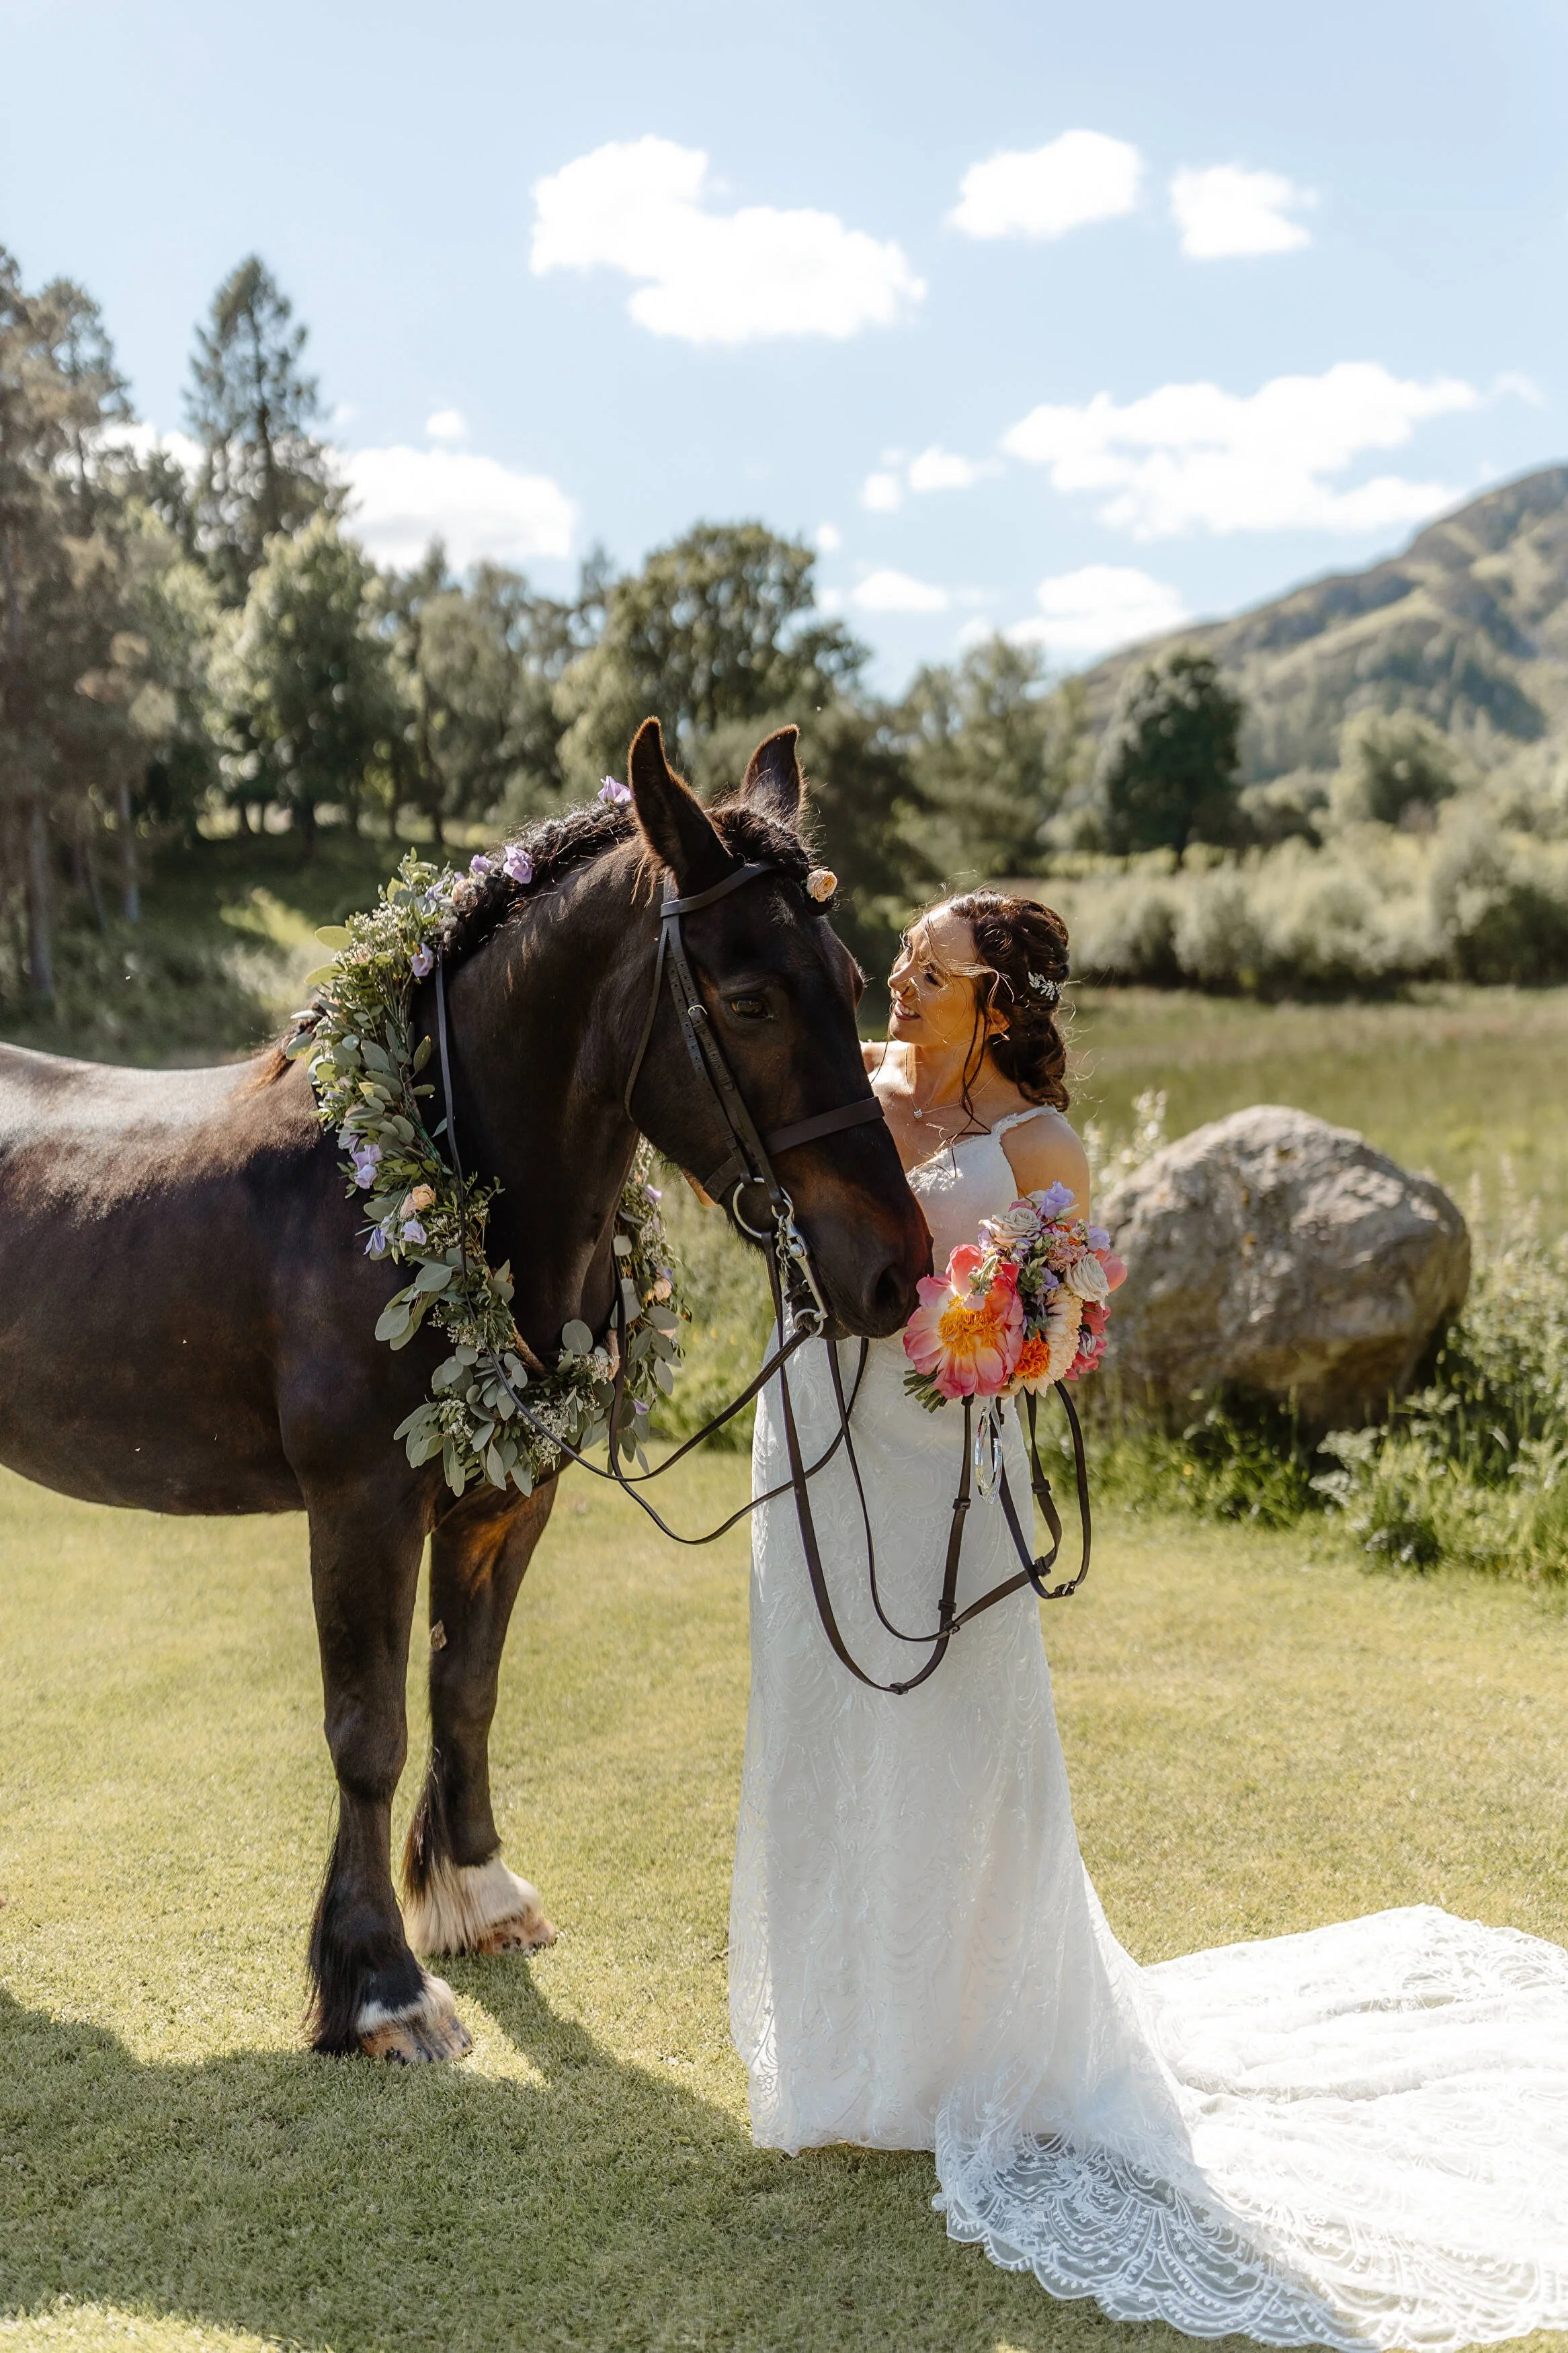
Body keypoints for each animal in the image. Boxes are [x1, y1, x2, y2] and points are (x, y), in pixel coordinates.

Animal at [0, 719, 929, 2061]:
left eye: (854, 979)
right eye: (751, 1000)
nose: (895, 1270)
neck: (424, 1178)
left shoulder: (503, 1501)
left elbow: (465, 1691)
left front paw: (476, 1890)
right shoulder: (361, 1511)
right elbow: (369, 1732)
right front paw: (379, 1985)